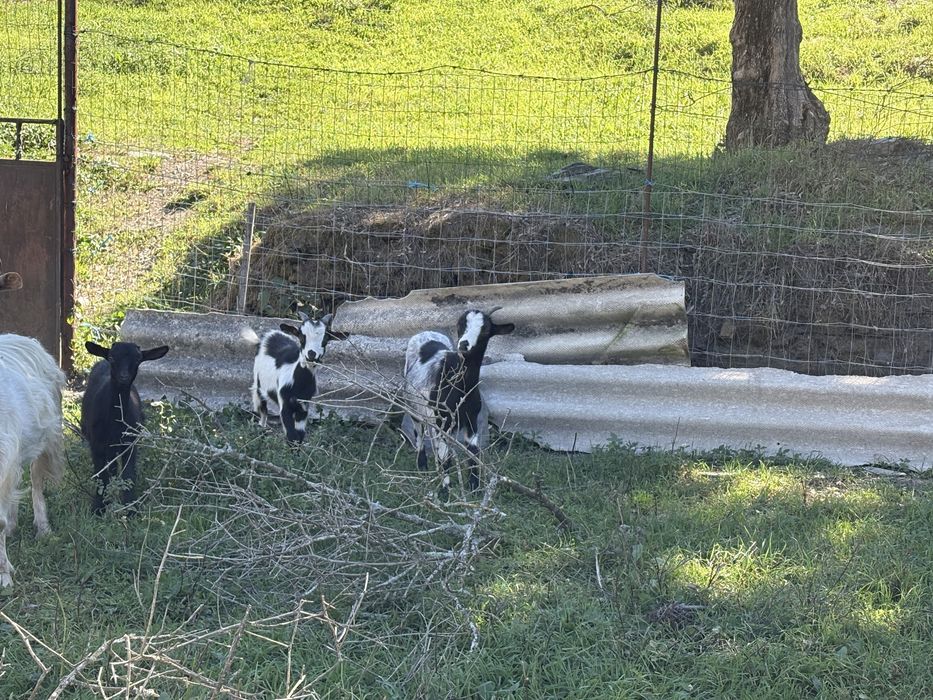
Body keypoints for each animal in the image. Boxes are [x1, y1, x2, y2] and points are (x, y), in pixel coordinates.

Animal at [81, 341, 169, 515]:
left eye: (137, 359)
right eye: (112, 357)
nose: (123, 377)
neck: (115, 420)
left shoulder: (130, 443)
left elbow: (128, 474)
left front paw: (130, 508)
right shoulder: (96, 444)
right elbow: (100, 475)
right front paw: (99, 507)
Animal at [241, 311, 347, 444]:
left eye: (325, 339)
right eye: (301, 337)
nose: (311, 354)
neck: (298, 384)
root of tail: (267, 336)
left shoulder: (303, 407)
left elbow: (299, 436)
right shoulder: (285, 406)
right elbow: (292, 436)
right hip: (258, 384)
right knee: (262, 409)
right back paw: (261, 429)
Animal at [403, 309, 514, 494]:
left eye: (485, 329)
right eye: (459, 325)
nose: (463, 344)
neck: (460, 387)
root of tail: (425, 333)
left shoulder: (471, 420)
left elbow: (473, 454)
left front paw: (474, 488)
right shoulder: (443, 422)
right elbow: (446, 459)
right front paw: (445, 492)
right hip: (413, 406)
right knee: (419, 433)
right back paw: (422, 467)